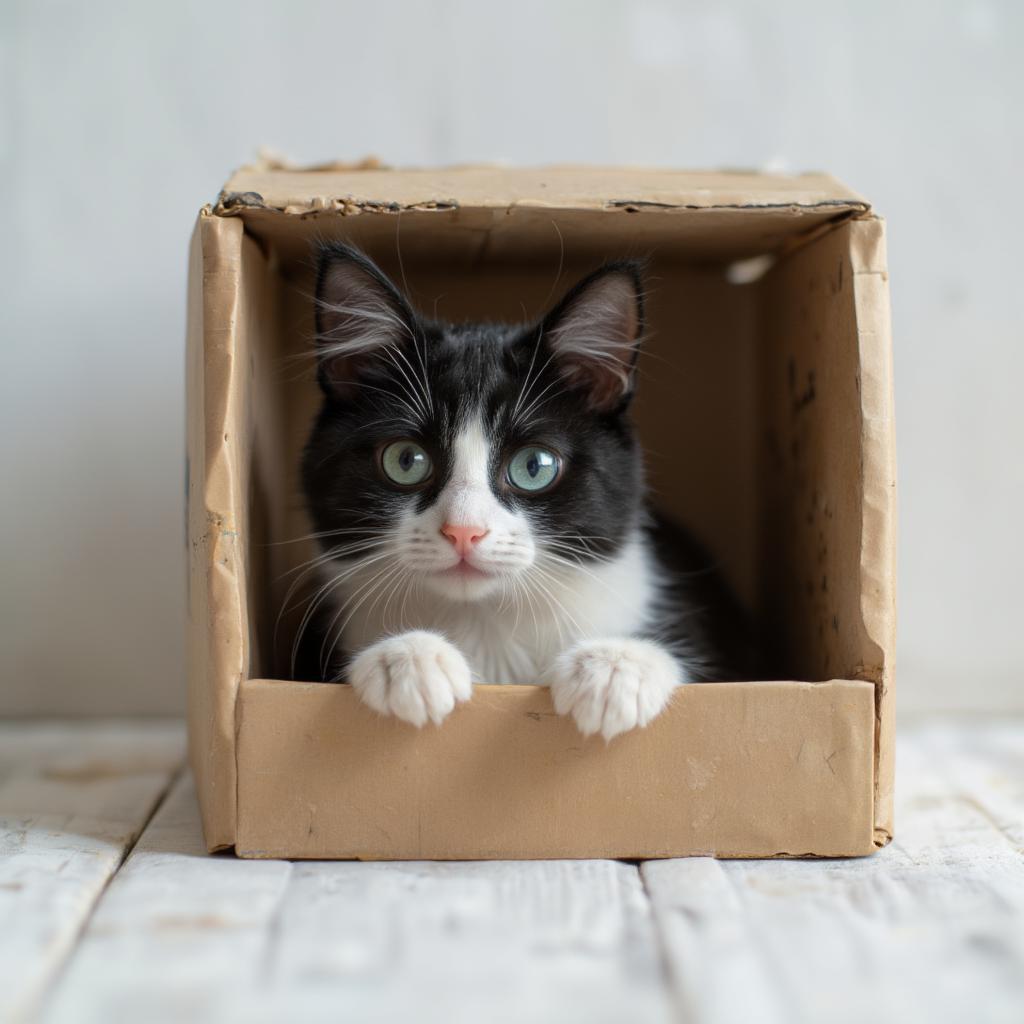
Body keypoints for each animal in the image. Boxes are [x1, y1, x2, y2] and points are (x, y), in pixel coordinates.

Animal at [292, 243, 757, 741]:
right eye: (405, 460)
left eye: (534, 467)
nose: (463, 531)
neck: (486, 620)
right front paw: (407, 659)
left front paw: (613, 668)